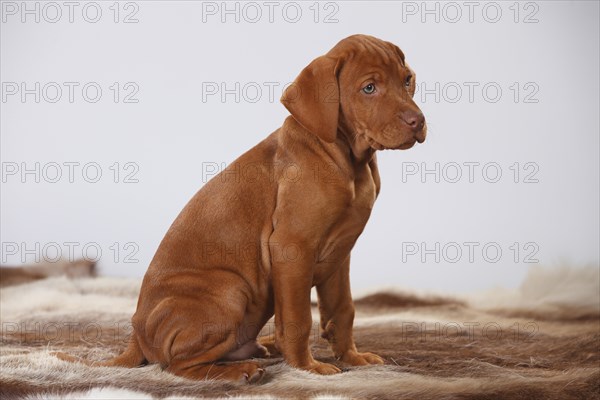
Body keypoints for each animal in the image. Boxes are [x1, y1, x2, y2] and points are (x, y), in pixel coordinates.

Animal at [82, 36, 426, 382]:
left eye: (407, 79)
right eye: (369, 88)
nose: (418, 121)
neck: (348, 160)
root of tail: (136, 335)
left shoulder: (340, 255)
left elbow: (343, 310)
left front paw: (353, 358)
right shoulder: (292, 247)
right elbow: (299, 319)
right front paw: (308, 367)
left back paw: (263, 347)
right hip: (231, 290)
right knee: (174, 365)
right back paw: (241, 370)